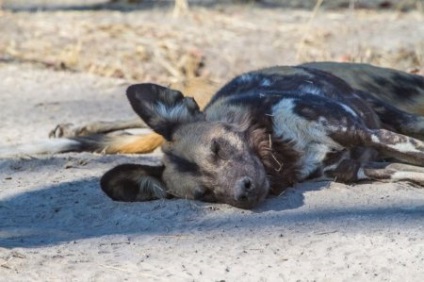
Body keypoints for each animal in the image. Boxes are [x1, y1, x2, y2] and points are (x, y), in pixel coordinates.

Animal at [98, 64, 424, 209]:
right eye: (204, 194)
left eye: (217, 148)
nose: (243, 192)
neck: (282, 150)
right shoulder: (360, 169)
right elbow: (409, 171)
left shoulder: (367, 134)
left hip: (390, 117)